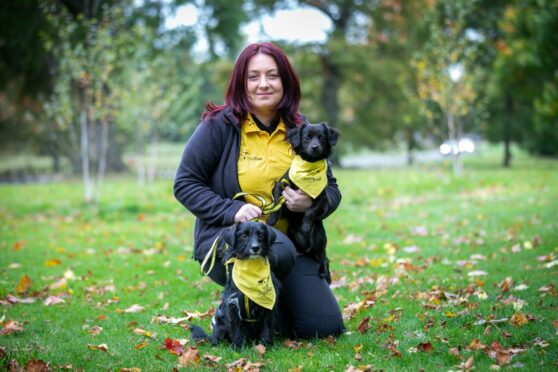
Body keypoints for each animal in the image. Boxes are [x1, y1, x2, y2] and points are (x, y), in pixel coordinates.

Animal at [191, 222, 280, 350]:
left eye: (261, 235)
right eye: (244, 235)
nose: (255, 247)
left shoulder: (268, 308)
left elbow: (266, 328)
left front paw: (265, 346)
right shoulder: (232, 304)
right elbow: (236, 329)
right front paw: (237, 348)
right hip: (219, 321)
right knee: (216, 338)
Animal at [268, 121, 342, 282]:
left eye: (321, 138)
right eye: (307, 138)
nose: (315, 147)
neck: (309, 167)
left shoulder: (321, 197)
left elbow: (310, 212)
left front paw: (307, 226)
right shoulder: (281, 186)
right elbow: (277, 204)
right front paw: (271, 219)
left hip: (320, 238)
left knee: (323, 257)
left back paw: (323, 271)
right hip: (292, 232)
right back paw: (299, 252)